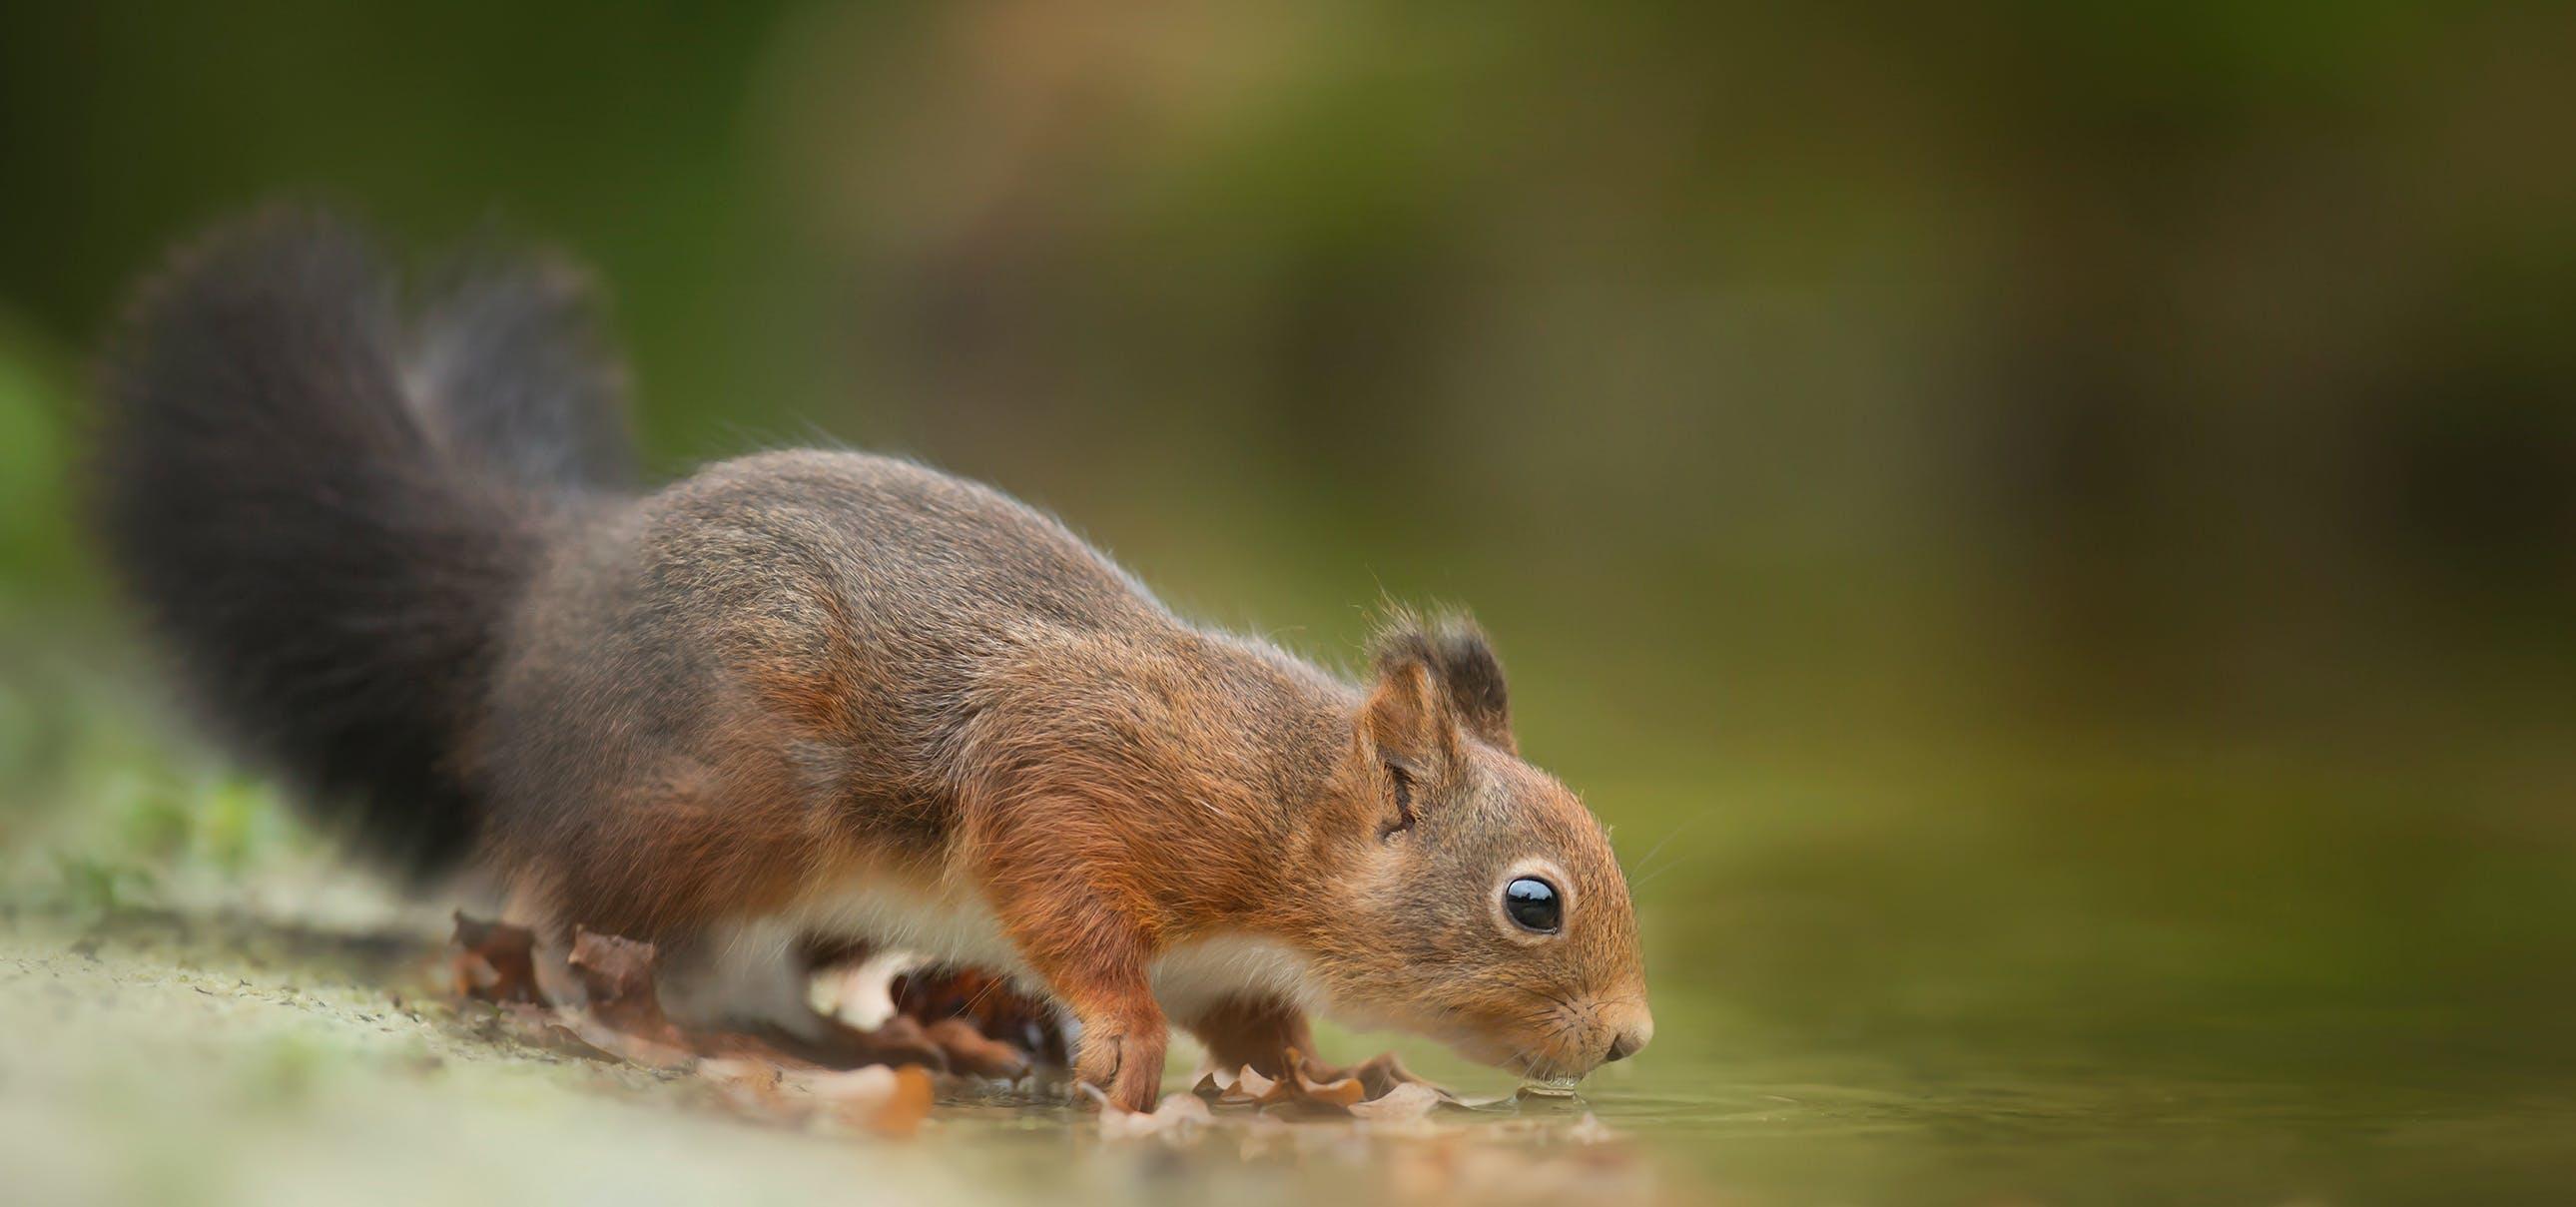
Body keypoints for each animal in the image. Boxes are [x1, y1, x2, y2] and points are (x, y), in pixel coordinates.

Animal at [90, 204, 1648, 1101]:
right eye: (1533, 902)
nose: (1634, 1041)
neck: (1286, 810)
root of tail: (541, 596)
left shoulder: (1234, 948)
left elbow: (1255, 1026)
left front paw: (1319, 1075)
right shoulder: (1091, 768)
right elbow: (1063, 885)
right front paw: (1123, 1031)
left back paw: (926, 1033)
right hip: (708, 808)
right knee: (586, 935)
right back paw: (690, 1037)